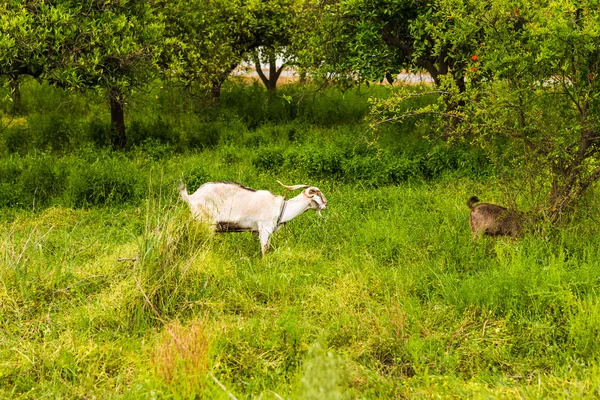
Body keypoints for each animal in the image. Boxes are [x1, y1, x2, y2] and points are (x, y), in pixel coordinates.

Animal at [178, 180, 328, 256]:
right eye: (319, 194)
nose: (326, 204)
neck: (282, 208)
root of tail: (192, 197)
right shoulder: (264, 229)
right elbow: (264, 250)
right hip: (204, 223)